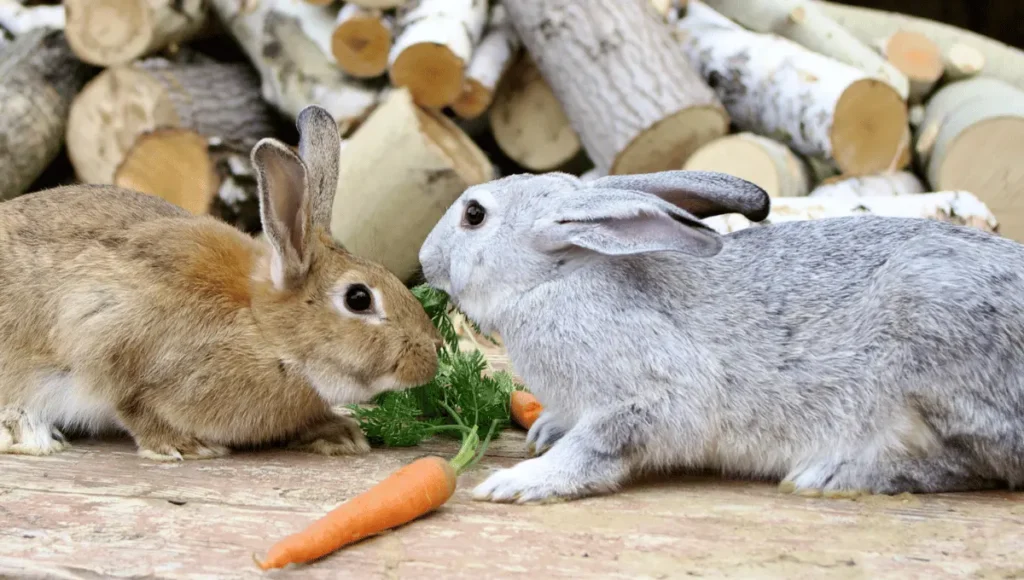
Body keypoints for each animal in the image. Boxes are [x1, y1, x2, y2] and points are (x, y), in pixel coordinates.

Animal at [0, 103, 440, 459]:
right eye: (359, 298)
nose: (430, 357)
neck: (264, 331)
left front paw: (340, 435)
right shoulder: (112, 345)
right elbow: (131, 405)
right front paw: (183, 446)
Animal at [417, 169, 1024, 504]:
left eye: (474, 215)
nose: (425, 261)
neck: (555, 278)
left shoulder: (654, 396)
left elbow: (600, 446)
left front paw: (522, 481)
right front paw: (543, 430)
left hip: (933, 327)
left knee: (979, 465)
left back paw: (831, 474)